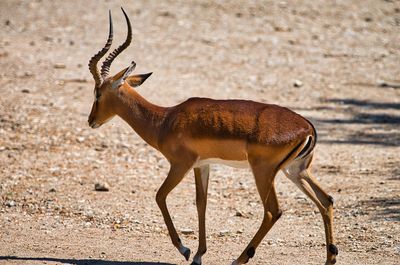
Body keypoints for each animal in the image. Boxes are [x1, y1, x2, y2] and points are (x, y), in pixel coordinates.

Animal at [86, 7, 338, 264]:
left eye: (97, 93)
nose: (91, 120)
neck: (165, 120)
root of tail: (308, 128)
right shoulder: (202, 165)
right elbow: (201, 203)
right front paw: (198, 254)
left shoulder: (180, 164)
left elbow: (160, 196)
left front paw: (185, 249)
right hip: (295, 170)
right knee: (326, 200)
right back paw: (330, 258)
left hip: (264, 172)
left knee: (272, 211)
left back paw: (239, 259)